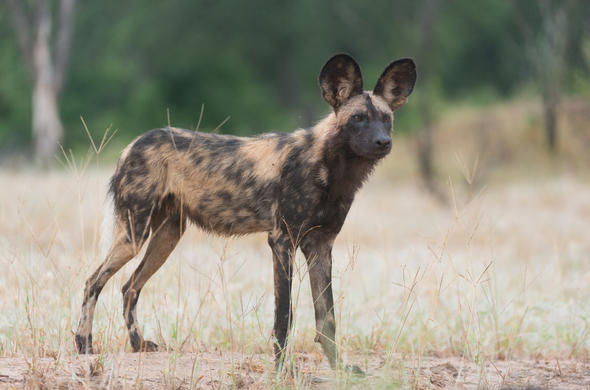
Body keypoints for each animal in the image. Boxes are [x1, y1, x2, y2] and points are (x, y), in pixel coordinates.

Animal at [75, 53, 416, 374]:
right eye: (358, 118)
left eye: (386, 119)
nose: (383, 142)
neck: (331, 168)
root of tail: (132, 145)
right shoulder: (282, 242)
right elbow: (285, 315)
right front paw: (283, 370)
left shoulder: (320, 247)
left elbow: (327, 319)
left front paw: (339, 369)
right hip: (134, 236)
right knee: (93, 281)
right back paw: (84, 344)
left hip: (166, 238)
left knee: (129, 286)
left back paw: (137, 344)